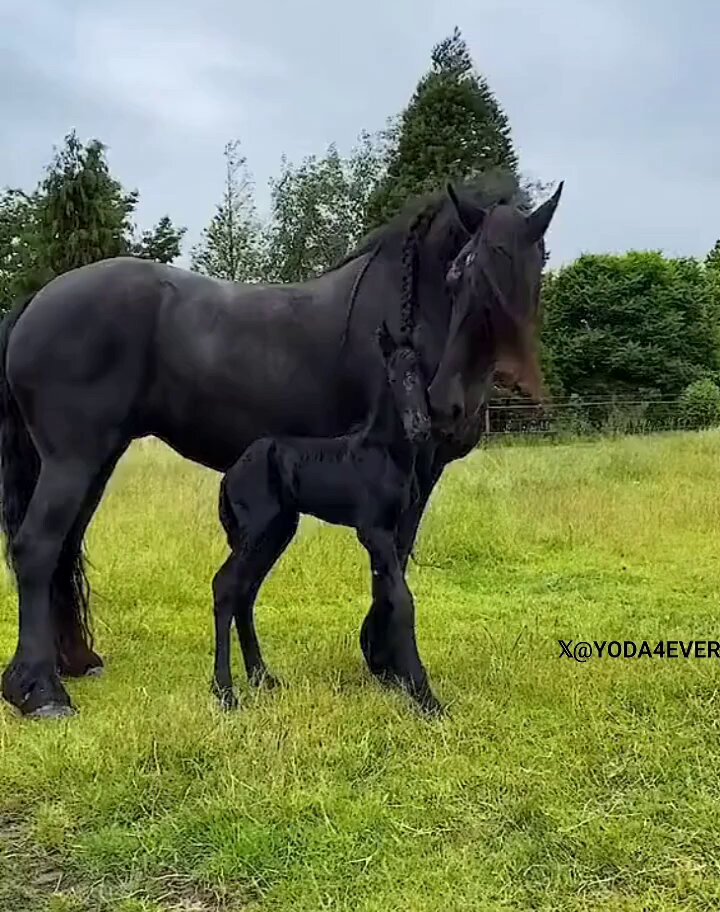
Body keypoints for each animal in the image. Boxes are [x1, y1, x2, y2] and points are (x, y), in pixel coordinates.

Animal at [213, 319, 431, 711]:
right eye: (392, 378)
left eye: (421, 376)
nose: (420, 427)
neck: (384, 454)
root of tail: (231, 474)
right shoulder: (373, 531)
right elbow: (403, 600)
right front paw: (425, 697)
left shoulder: (393, 532)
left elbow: (388, 596)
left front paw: (397, 678)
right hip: (257, 532)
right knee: (225, 586)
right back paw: (225, 692)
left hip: (277, 531)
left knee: (244, 592)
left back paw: (262, 678)